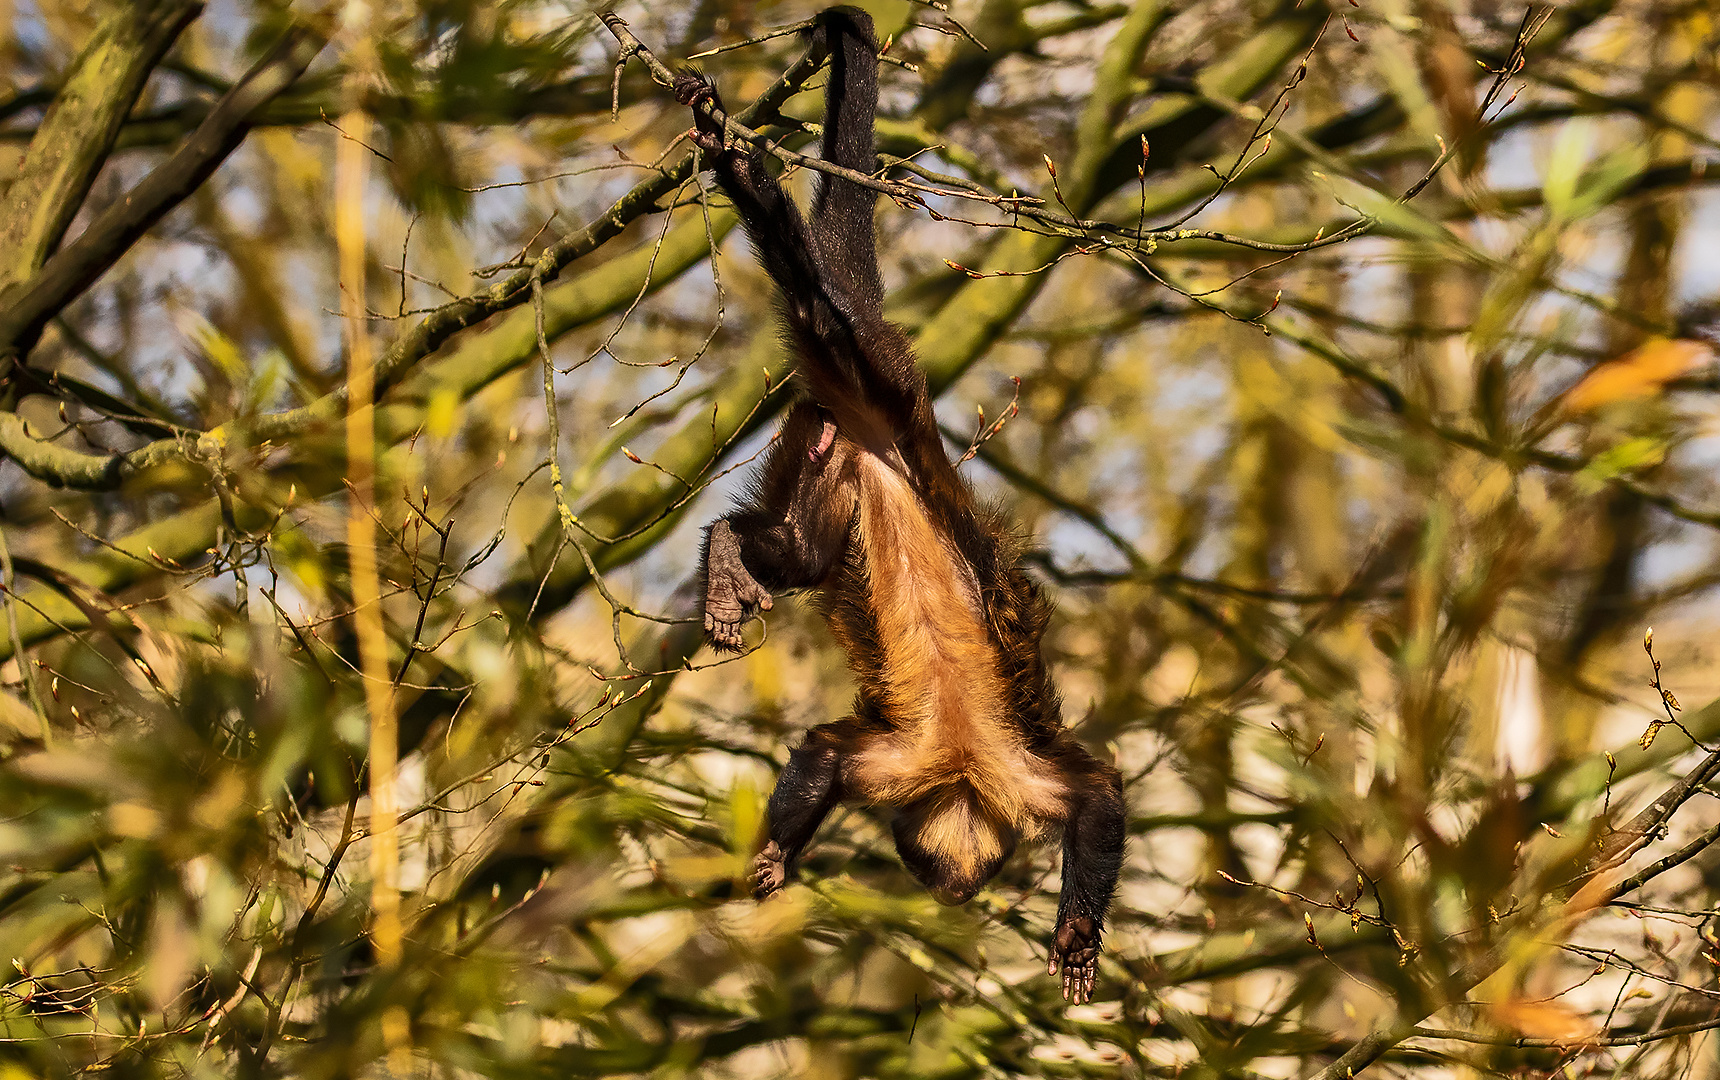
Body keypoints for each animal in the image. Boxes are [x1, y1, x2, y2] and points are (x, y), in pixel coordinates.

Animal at [670, 6, 1128, 1004]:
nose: (948, 889)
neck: (956, 765)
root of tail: (885, 431)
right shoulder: (944, 769)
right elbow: (1096, 787)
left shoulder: (956, 771)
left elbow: (1093, 795)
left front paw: (1077, 934)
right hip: (878, 374)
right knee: (818, 306)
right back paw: (737, 164)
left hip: (827, 444)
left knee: (800, 550)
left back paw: (727, 559)